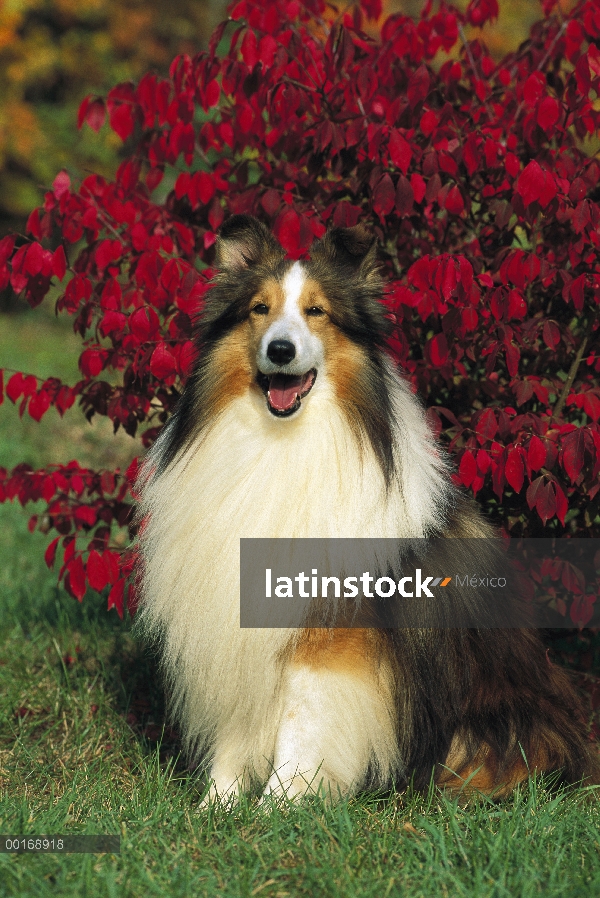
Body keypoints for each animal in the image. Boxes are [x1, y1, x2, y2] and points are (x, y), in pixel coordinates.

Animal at [137, 214, 600, 800]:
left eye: (317, 311)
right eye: (259, 309)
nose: (280, 351)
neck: (281, 444)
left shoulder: (328, 629)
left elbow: (301, 725)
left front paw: (277, 804)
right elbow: (237, 732)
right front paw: (216, 806)